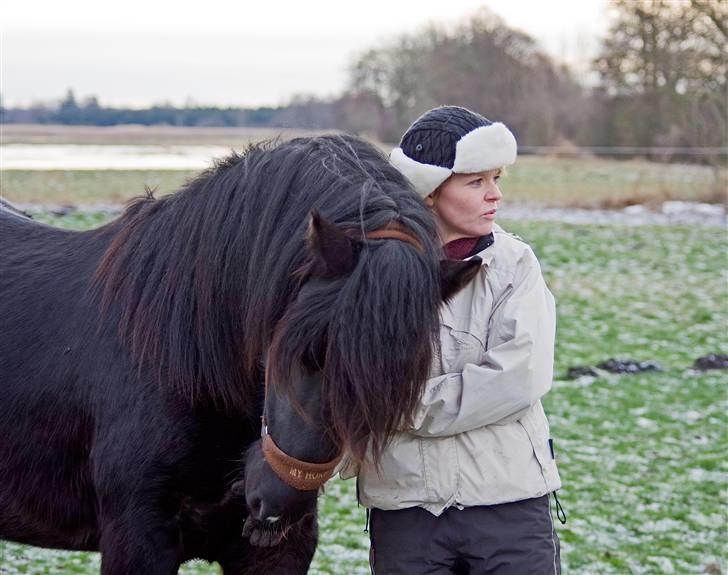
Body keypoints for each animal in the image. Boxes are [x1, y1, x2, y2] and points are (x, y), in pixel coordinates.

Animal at [0, 134, 478, 572]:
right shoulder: (137, 538)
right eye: (304, 353)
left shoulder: (276, 554)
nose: (274, 506)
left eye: (394, 386)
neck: (179, 358)